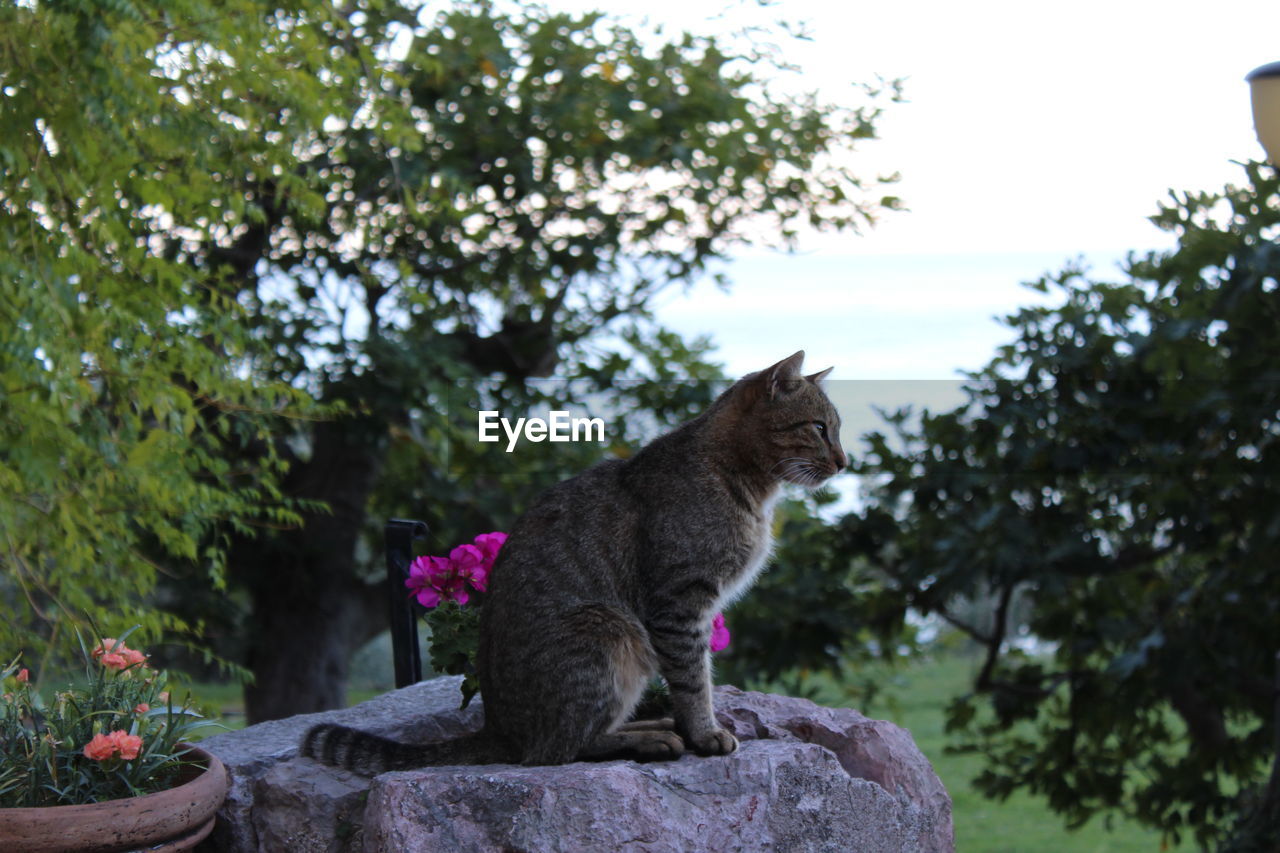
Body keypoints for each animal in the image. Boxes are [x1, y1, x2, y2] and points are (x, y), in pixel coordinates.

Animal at [296, 350, 839, 768]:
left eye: (835, 428)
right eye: (819, 428)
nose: (844, 462)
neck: (748, 484)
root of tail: (498, 730)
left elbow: (696, 679)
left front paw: (695, 727)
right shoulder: (680, 604)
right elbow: (693, 680)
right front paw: (704, 733)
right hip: (606, 631)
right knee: (561, 748)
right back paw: (650, 738)